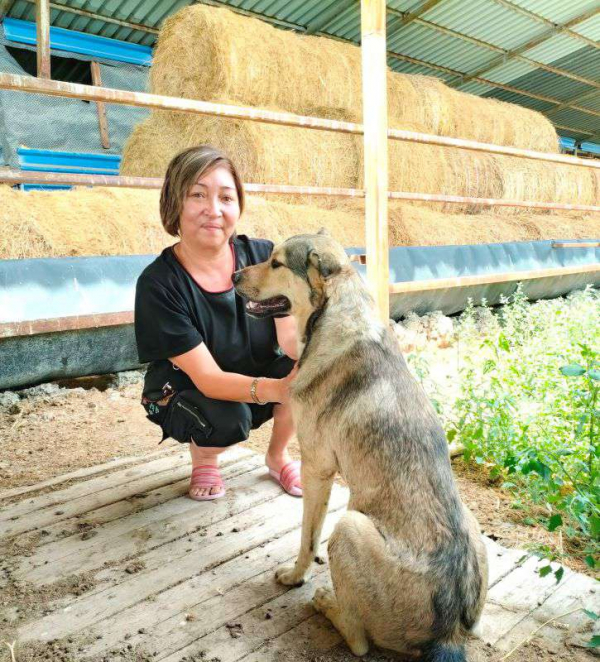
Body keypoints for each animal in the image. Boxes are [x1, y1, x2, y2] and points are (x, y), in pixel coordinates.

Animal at [233, 231, 488, 660]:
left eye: (276, 263)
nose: (233, 275)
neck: (336, 309)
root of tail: (450, 631)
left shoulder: (317, 468)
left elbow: (307, 537)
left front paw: (296, 575)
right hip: (472, 525)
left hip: (349, 526)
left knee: (358, 641)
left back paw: (326, 603)